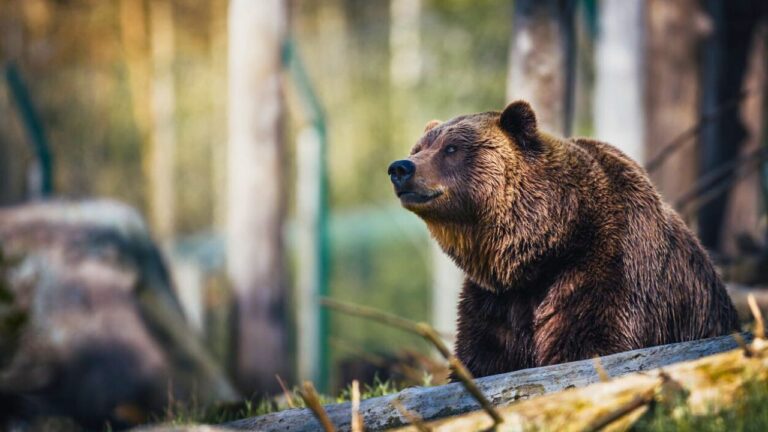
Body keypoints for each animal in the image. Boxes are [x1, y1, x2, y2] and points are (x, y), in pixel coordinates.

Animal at [387, 100, 740, 378]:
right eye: (418, 148)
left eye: (452, 148)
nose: (400, 168)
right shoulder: (496, 301)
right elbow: (483, 357)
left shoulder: (606, 268)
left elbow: (590, 343)